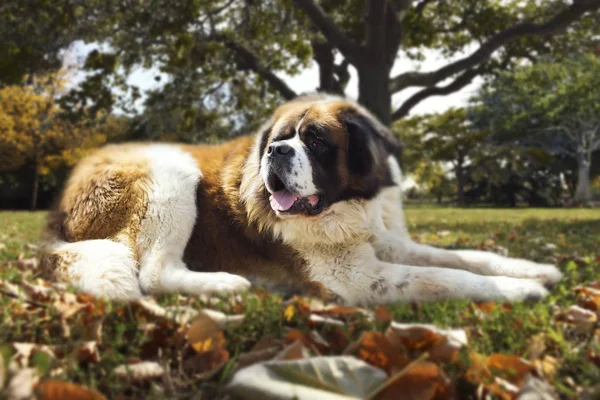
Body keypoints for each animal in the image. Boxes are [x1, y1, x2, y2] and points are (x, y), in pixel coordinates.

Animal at [41, 94, 564, 304]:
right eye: (279, 139)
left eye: (315, 140)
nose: (276, 150)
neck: (346, 204)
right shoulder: (353, 277)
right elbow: (444, 277)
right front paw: (519, 291)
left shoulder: (387, 242)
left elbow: (462, 256)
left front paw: (534, 270)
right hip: (172, 172)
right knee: (151, 272)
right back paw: (225, 284)